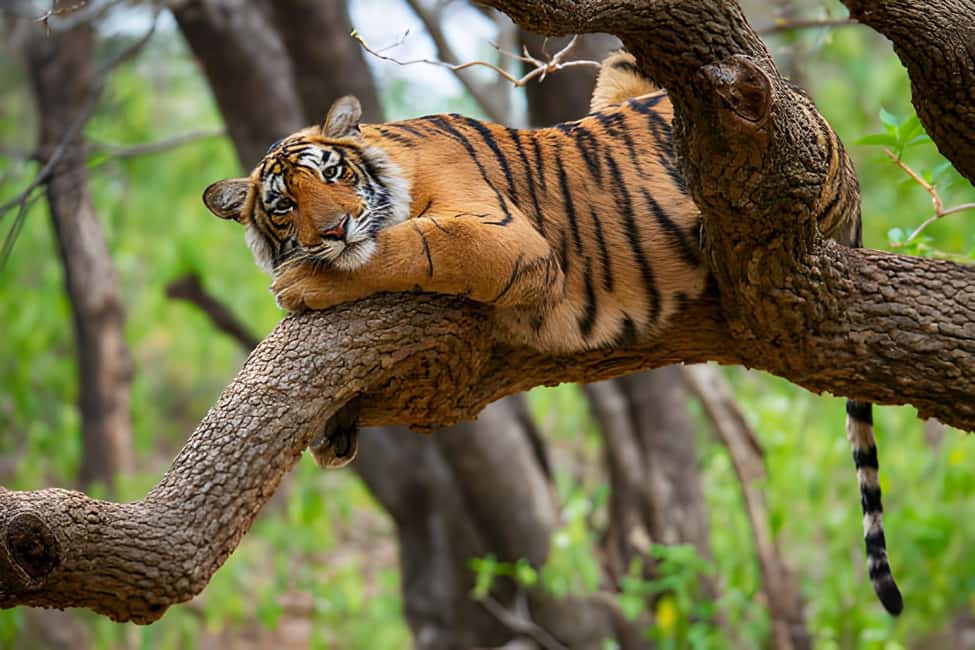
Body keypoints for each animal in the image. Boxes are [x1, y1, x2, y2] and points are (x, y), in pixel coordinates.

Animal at [201, 51, 901, 614]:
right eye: (283, 204)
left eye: (335, 175)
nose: (334, 229)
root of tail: (836, 139)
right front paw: (333, 425)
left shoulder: (506, 239)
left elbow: (401, 248)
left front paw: (302, 282)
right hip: (621, 67)